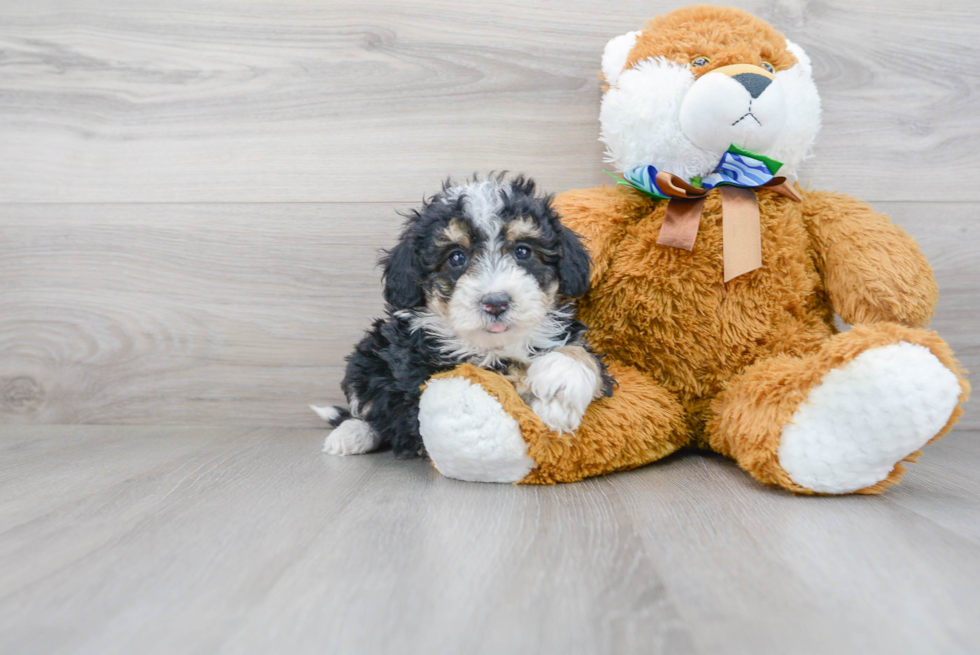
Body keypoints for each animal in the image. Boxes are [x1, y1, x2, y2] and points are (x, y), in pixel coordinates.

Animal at [310, 177, 612, 458]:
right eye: (456, 258)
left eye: (523, 251)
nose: (495, 303)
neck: (496, 345)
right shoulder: (428, 369)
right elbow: (503, 374)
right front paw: (551, 402)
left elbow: (580, 354)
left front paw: (563, 379)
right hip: (367, 356)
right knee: (366, 408)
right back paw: (351, 434)